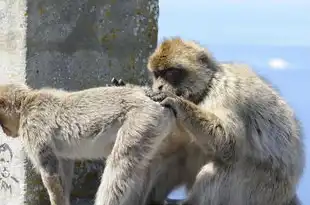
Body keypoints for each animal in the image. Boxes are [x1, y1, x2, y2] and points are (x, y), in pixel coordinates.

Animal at [0, 83, 176, 205]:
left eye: (1, 122)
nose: (5, 132)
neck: (26, 103)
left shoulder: (33, 129)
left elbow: (51, 175)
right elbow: (64, 170)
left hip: (142, 119)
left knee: (120, 165)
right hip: (154, 130)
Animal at [112, 37, 306, 205]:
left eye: (171, 73)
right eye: (157, 74)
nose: (159, 86)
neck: (207, 87)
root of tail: (287, 194)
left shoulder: (225, 94)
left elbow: (228, 142)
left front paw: (175, 101)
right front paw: (126, 86)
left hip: (262, 191)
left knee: (226, 166)